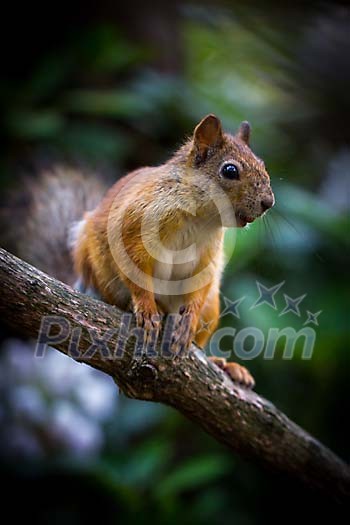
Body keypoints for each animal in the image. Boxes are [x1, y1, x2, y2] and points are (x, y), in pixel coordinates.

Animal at [4, 114, 274, 388]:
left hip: (212, 309)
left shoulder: (209, 256)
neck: (198, 218)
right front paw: (147, 309)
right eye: (230, 171)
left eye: (263, 165)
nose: (269, 202)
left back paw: (225, 365)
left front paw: (189, 320)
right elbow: (137, 274)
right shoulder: (133, 228)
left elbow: (201, 283)